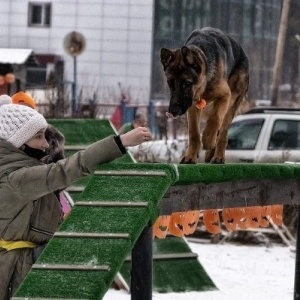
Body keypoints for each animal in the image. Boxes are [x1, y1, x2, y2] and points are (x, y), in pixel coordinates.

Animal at [161, 27, 250, 164]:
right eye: (170, 83)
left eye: (187, 83)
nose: (173, 111)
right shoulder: (192, 107)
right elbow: (194, 133)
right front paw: (191, 156)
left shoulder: (224, 96)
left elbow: (215, 119)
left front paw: (208, 140)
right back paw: (210, 153)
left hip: (231, 105)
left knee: (223, 133)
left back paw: (218, 156)